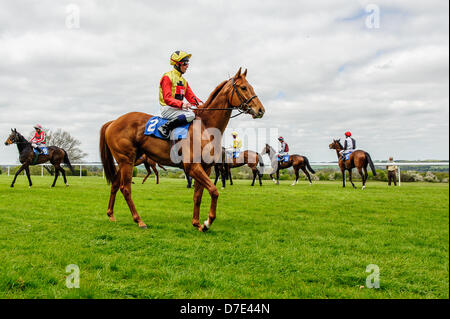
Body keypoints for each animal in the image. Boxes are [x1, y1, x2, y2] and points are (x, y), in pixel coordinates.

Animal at [98, 69, 264, 231]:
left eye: (251, 87)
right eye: (243, 87)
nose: (261, 110)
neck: (205, 126)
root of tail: (113, 122)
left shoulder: (206, 167)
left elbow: (198, 195)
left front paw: (197, 223)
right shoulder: (192, 167)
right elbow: (214, 191)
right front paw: (207, 222)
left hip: (127, 160)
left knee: (115, 184)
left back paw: (111, 214)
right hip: (126, 160)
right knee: (125, 188)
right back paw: (139, 220)